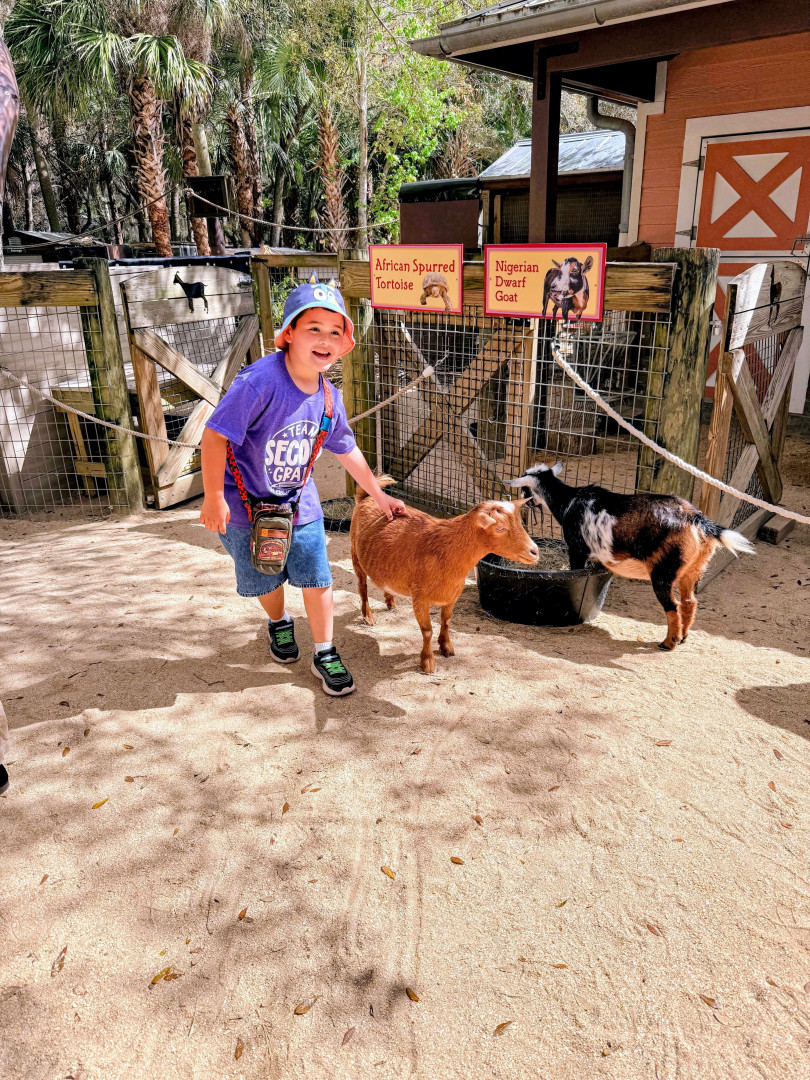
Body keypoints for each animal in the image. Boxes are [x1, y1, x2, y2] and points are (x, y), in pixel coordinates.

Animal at [351, 477, 539, 672]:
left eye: (520, 523)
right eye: (500, 528)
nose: (535, 552)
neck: (446, 552)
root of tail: (365, 498)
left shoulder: (452, 596)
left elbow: (446, 621)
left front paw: (446, 647)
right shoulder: (419, 598)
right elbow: (427, 630)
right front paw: (427, 662)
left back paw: (390, 602)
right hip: (355, 555)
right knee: (362, 587)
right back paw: (368, 617)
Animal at [511, 463, 755, 650]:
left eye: (524, 490)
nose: (522, 502)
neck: (568, 501)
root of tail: (696, 519)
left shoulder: (577, 549)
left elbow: (575, 572)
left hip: (664, 571)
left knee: (672, 605)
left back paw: (668, 643)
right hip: (694, 569)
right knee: (689, 601)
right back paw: (683, 637)